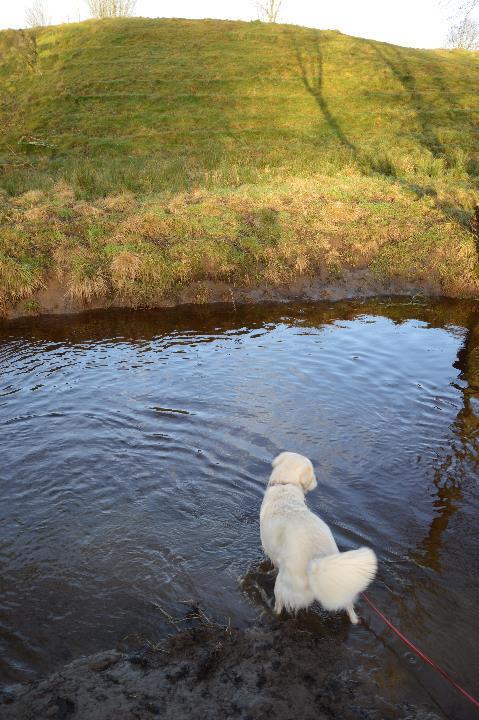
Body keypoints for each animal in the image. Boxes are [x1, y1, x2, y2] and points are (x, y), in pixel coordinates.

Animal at [260, 450, 376, 624]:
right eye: (313, 473)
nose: (317, 482)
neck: (285, 485)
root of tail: (315, 561)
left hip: (282, 586)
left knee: (280, 605)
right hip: (341, 582)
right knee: (348, 606)